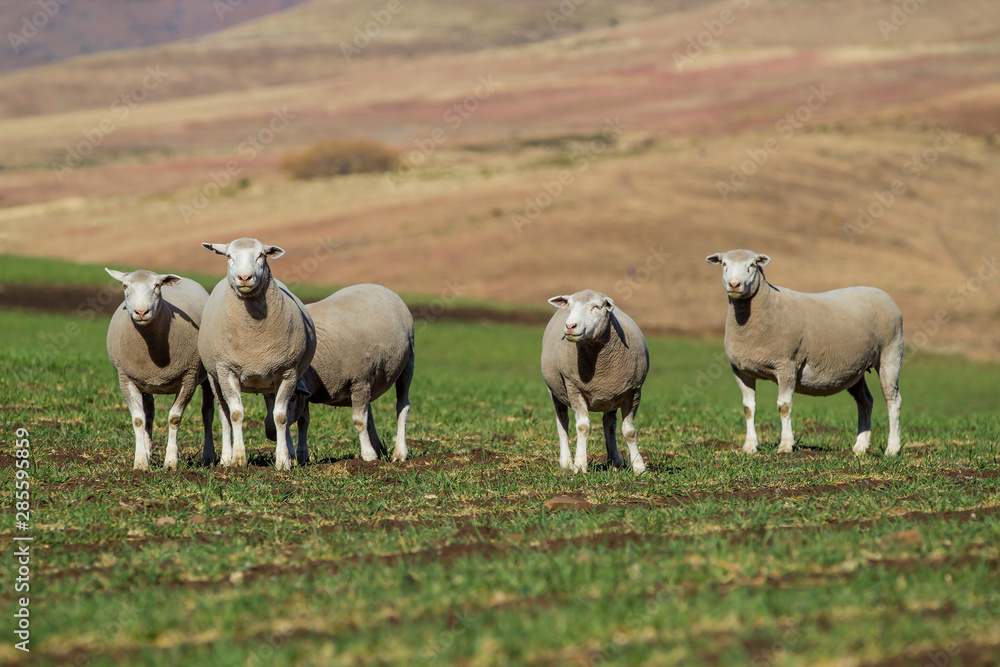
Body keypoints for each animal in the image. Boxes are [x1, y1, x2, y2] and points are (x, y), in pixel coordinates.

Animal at [104, 268, 214, 470]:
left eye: (156, 286)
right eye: (125, 286)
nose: (141, 312)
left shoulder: (189, 377)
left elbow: (174, 418)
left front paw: (171, 462)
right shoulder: (126, 378)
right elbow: (139, 420)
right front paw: (141, 462)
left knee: (207, 413)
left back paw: (209, 455)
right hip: (144, 380)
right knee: (149, 412)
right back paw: (148, 450)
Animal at [198, 238, 317, 470]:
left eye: (261, 255)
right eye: (229, 256)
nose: (244, 278)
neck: (254, 337)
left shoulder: (288, 372)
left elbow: (281, 417)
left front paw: (283, 461)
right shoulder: (226, 370)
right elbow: (235, 414)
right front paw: (238, 459)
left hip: (271, 380)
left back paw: (289, 453)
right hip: (214, 378)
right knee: (224, 415)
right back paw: (225, 457)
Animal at [262, 283, 415, 463]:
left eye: (291, 398)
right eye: (265, 397)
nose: (270, 432)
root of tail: (378, 286)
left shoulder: (359, 381)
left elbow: (359, 421)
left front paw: (368, 456)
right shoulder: (306, 391)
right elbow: (303, 421)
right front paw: (302, 455)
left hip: (408, 363)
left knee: (402, 407)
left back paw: (399, 452)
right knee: (369, 413)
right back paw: (378, 448)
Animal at [541, 289, 648, 474]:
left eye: (597, 307)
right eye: (569, 306)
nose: (570, 326)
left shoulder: (634, 390)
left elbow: (629, 431)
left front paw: (639, 466)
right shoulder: (573, 386)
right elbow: (582, 427)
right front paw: (579, 464)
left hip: (612, 395)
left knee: (609, 424)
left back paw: (615, 461)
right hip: (554, 391)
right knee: (562, 423)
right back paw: (566, 462)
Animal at [705, 249, 903, 455]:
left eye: (752, 265)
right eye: (724, 264)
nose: (734, 284)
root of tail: (883, 294)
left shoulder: (786, 365)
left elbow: (784, 407)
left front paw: (785, 445)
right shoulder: (741, 371)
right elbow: (748, 408)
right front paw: (749, 446)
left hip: (891, 353)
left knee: (893, 400)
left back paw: (892, 448)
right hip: (854, 369)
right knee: (865, 402)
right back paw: (860, 446)